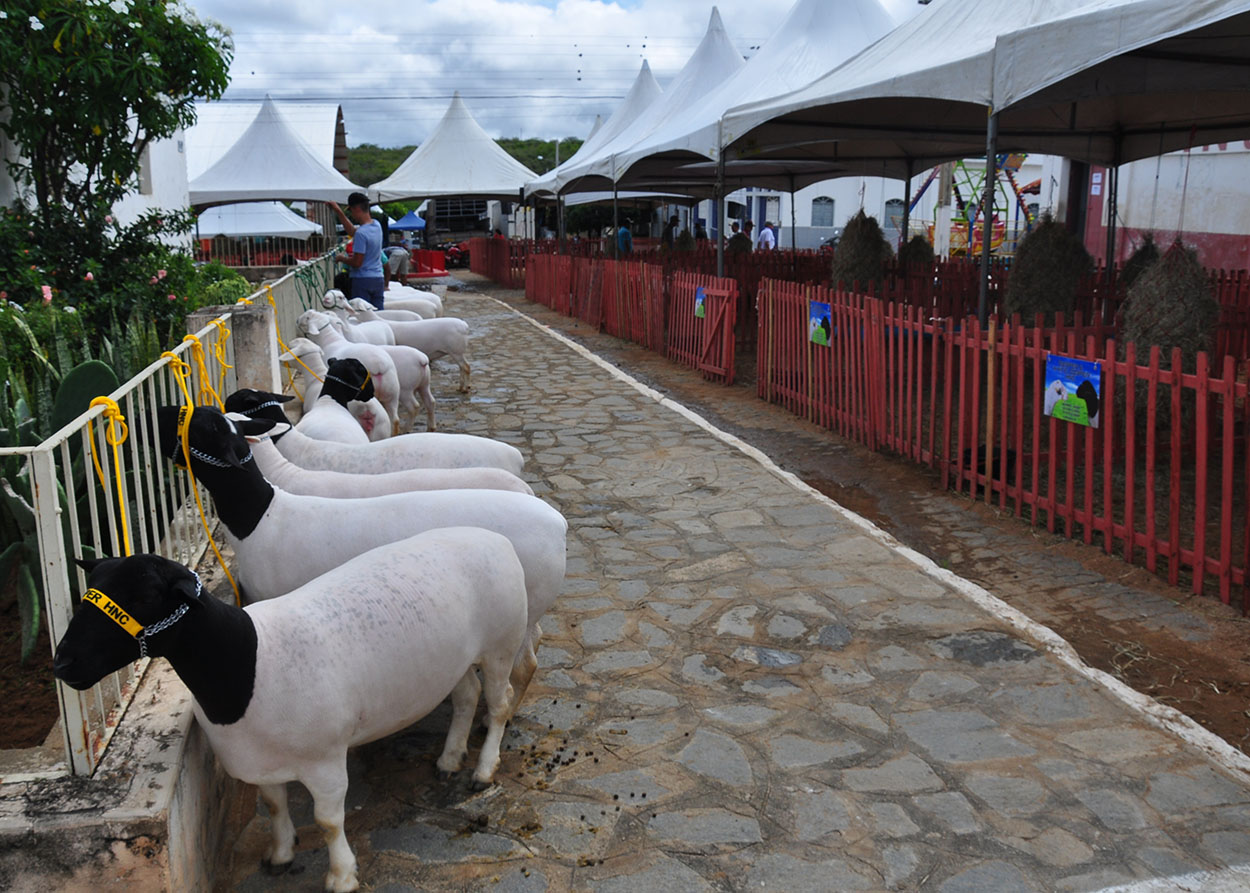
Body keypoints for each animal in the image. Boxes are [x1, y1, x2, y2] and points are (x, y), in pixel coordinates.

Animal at [56, 527, 527, 890]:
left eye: (146, 595)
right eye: (89, 591)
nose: (63, 663)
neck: (246, 662)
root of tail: (496, 538)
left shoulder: (325, 760)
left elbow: (328, 821)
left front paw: (342, 877)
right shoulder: (263, 762)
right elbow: (274, 805)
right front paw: (280, 855)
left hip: (502, 644)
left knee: (500, 704)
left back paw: (483, 770)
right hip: (454, 660)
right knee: (466, 696)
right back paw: (449, 759)